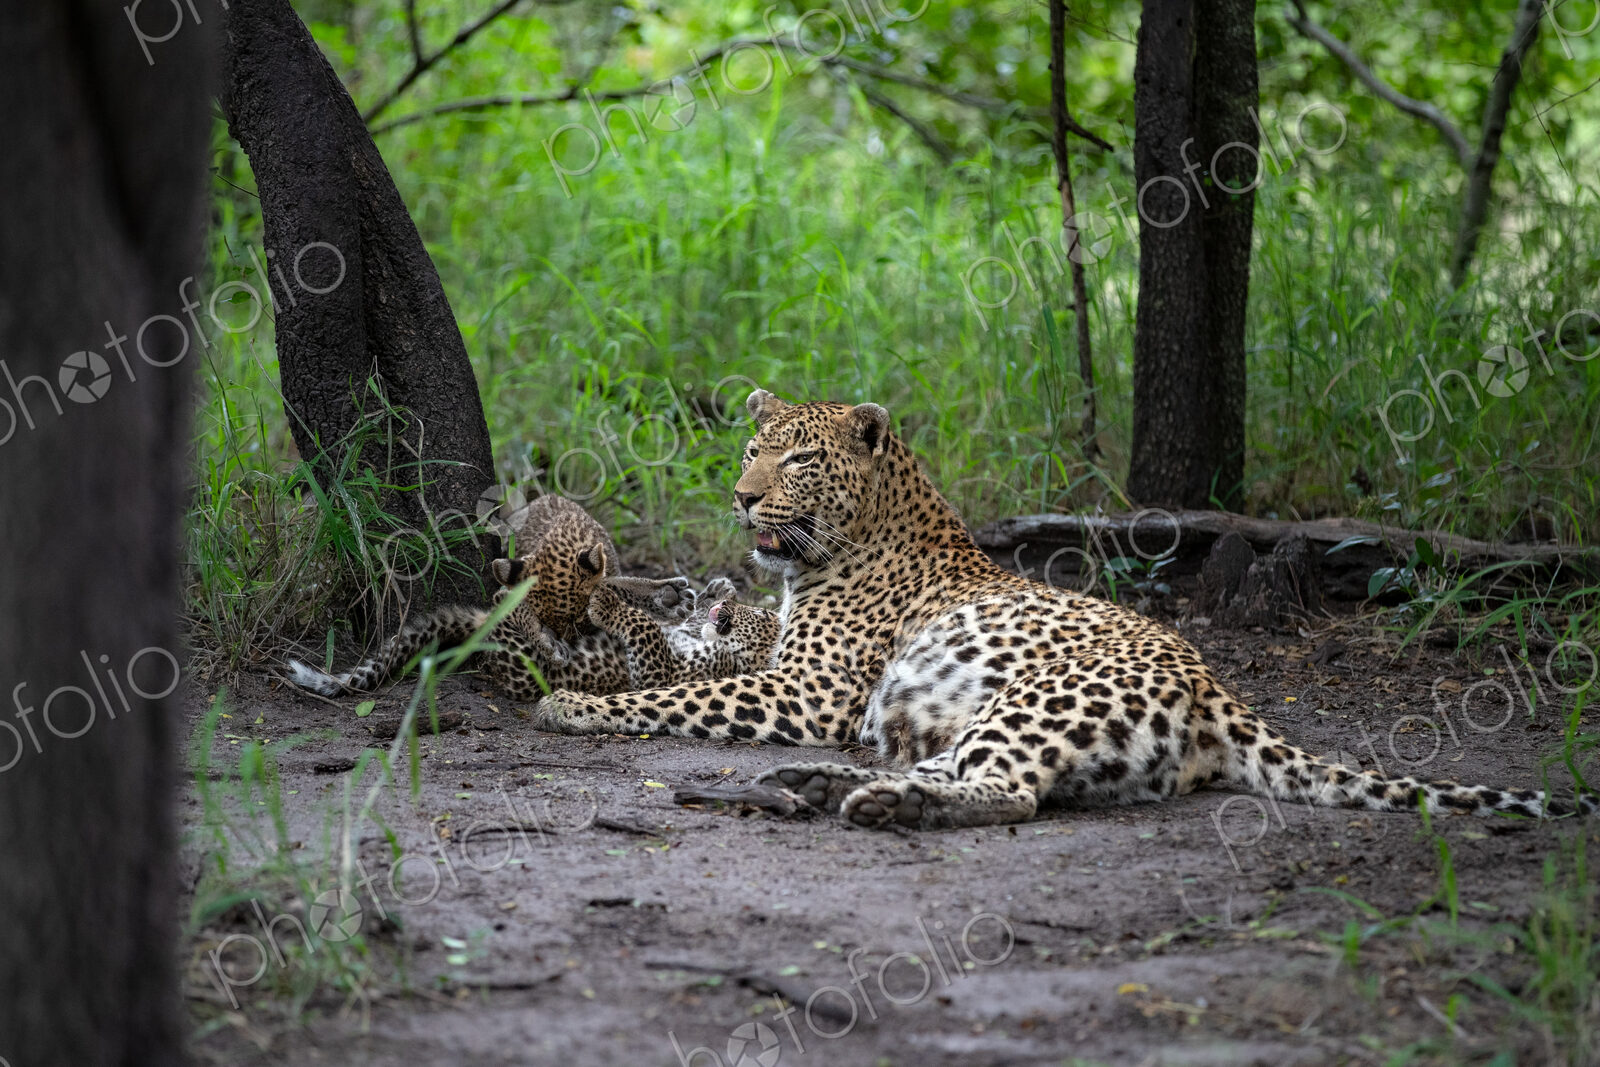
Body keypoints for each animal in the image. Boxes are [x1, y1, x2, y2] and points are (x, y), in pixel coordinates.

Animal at [532, 387, 1597, 830]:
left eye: (797, 459)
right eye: (751, 451)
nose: (743, 499)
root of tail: (1219, 691)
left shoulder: (807, 692)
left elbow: (673, 697)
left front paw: (570, 702)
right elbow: (689, 671)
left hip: (1037, 699)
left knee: (1012, 791)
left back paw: (876, 802)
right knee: (972, 771)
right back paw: (825, 785)